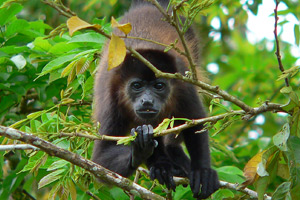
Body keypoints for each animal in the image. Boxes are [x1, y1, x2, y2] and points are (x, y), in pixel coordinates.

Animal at [92, 0, 219, 198]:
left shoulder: (182, 81)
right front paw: (139, 150)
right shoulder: (111, 99)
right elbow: (101, 158)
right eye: (137, 85)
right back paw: (160, 164)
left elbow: (195, 121)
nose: (147, 101)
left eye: (158, 86)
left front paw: (202, 171)